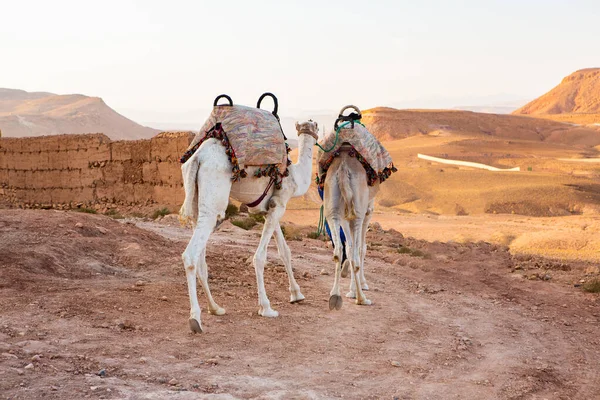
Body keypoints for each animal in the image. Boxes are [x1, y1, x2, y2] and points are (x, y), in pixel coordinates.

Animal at [178, 119, 318, 334]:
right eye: (315, 126)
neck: (296, 175)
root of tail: (197, 158)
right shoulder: (280, 203)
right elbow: (260, 257)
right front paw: (266, 308)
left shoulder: (271, 208)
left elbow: (284, 251)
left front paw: (297, 295)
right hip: (213, 201)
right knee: (191, 255)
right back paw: (195, 319)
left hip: (195, 199)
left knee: (201, 261)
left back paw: (215, 308)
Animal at [324, 144, 380, 310]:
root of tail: (343, 167)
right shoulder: (367, 211)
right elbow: (361, 248)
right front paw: (361, 285)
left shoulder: (344, 217)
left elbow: (349, 248)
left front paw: (351, 289)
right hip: (358, 213)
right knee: (355, 253)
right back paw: (362, 299)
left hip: (333, 210)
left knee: (338, 250)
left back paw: (334, 296)